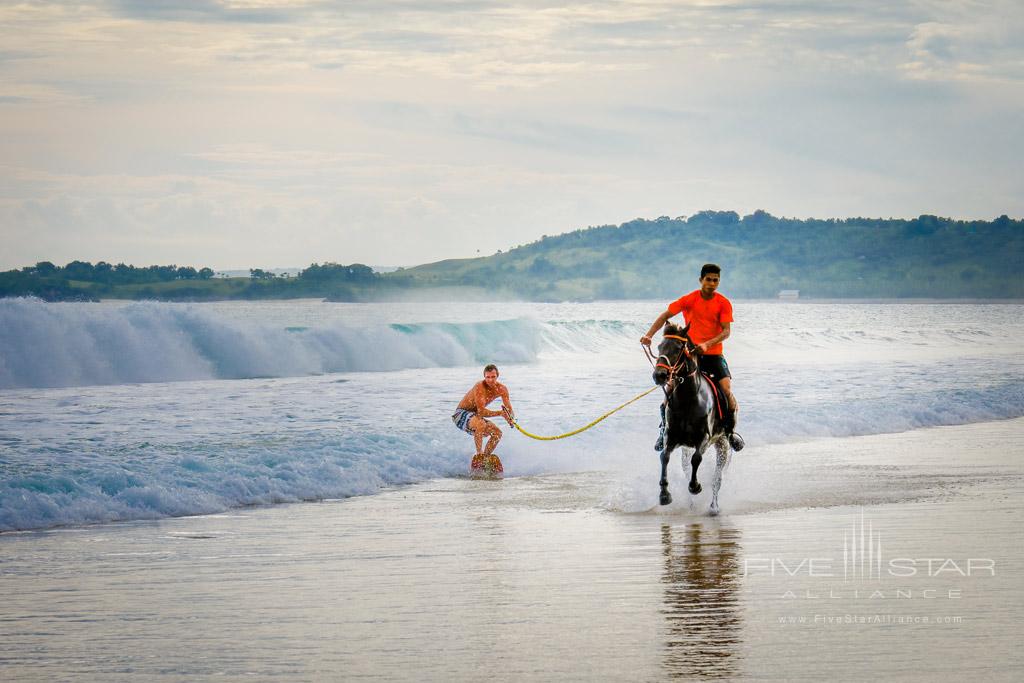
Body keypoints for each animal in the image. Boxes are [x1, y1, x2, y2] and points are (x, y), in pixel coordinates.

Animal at [651, 323, 733, 516]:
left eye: (677, 348)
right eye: (659, 347)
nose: (659, 375)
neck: (688, 398)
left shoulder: (704, 438)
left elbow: (697, 459)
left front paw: (695, 487)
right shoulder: (671, 437)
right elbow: (664, 457)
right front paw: (664, 495)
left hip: (723, 446)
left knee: (717, 478)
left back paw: (713, 507)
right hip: (686, 448)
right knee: (687, 468)